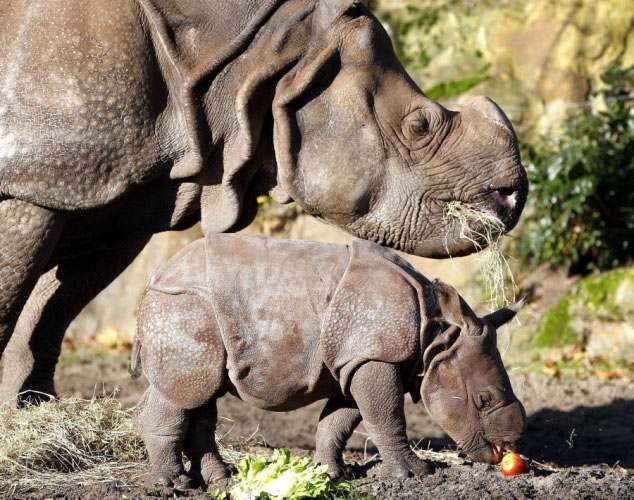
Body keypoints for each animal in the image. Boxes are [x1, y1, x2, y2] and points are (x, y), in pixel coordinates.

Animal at [131, 235, 524, 488]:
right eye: (483, 400)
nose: (512, 444)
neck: (436, 336)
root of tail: (154, 275)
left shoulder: (355, 358)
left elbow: (340, 420)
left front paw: (330, 473)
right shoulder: (374, 356)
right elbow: (386, 416)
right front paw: (415, 475)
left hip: (190, 309)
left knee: (199, 394)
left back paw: (220, 482)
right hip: (184, 305)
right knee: (185, 391)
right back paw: (172, 485)